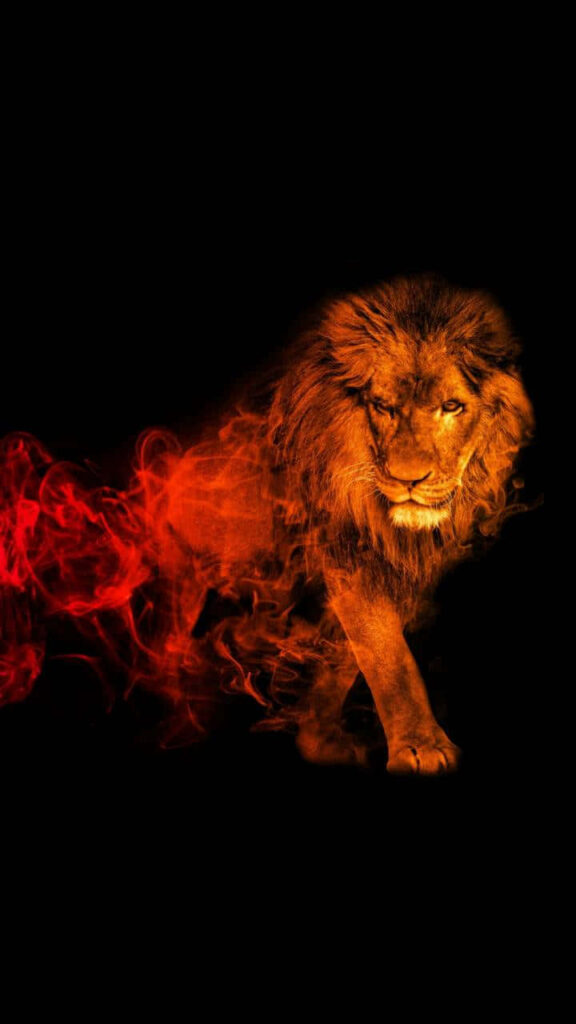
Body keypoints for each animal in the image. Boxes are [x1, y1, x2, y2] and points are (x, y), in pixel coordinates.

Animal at [163, 272, 535, 774]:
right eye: (383, 406)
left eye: (452, 406)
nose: (408, 480)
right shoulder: (346, 545)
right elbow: (386, 653)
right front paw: (420, 747)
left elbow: (346, 653)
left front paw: (318, 738)